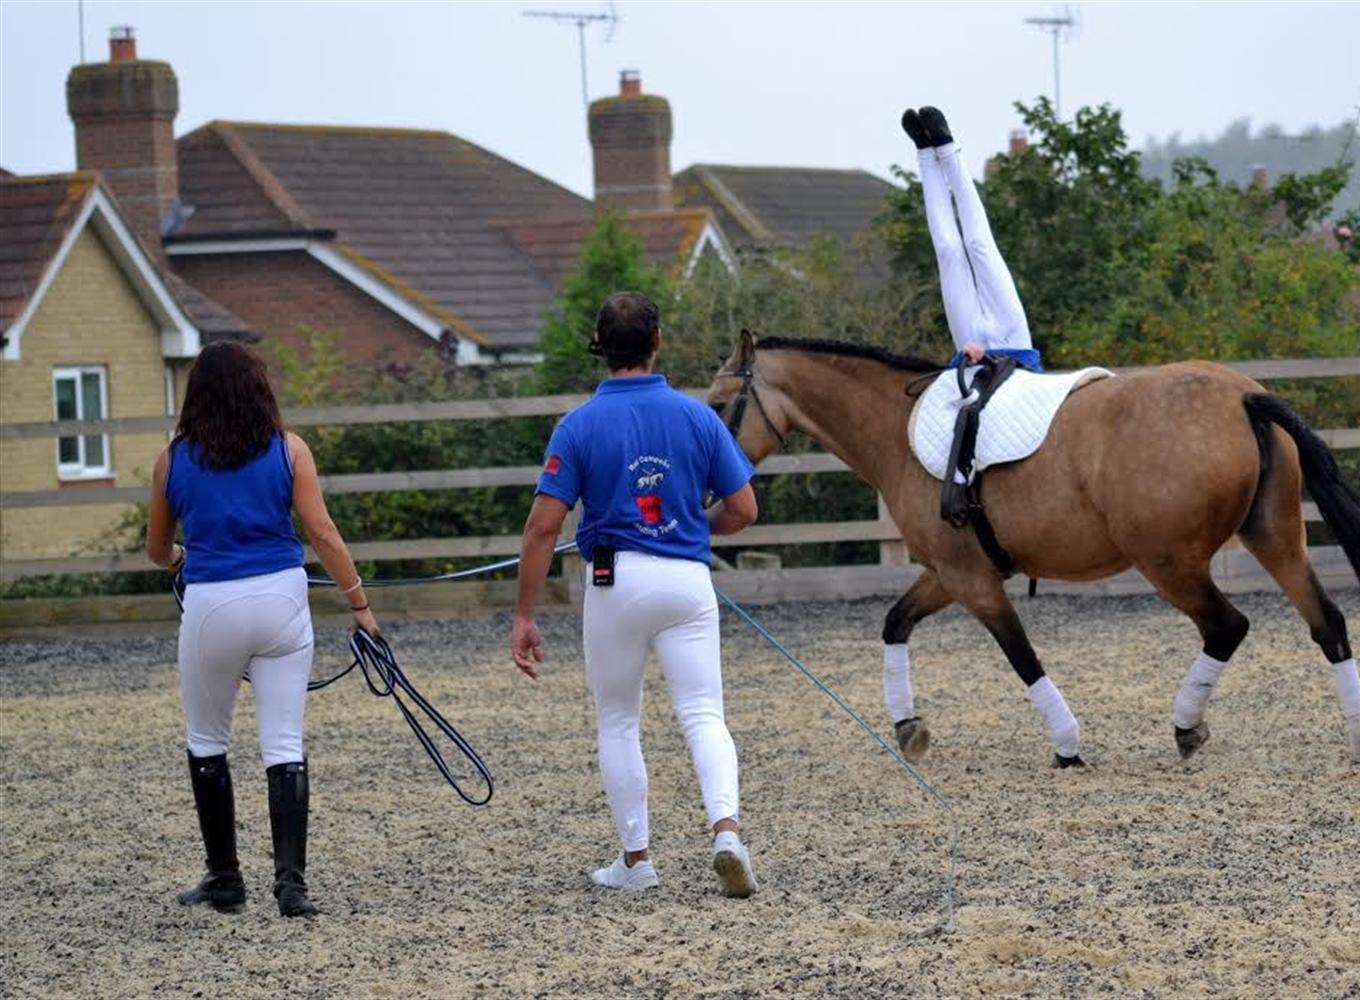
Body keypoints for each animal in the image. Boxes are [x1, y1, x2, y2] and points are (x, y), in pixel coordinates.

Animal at [707, 330, 1360, 767]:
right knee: (1326, 621)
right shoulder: (946, 573)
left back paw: (1185, 727)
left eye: (716, 406)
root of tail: (1242, 396)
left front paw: (1067, 743)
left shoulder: (970, 580)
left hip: (1169, 563)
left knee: (1227, 626)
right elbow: (895, 623)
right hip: (1274, 538)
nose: (715, 503)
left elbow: (1021, 655)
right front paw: (908, 725)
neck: (899, 425)